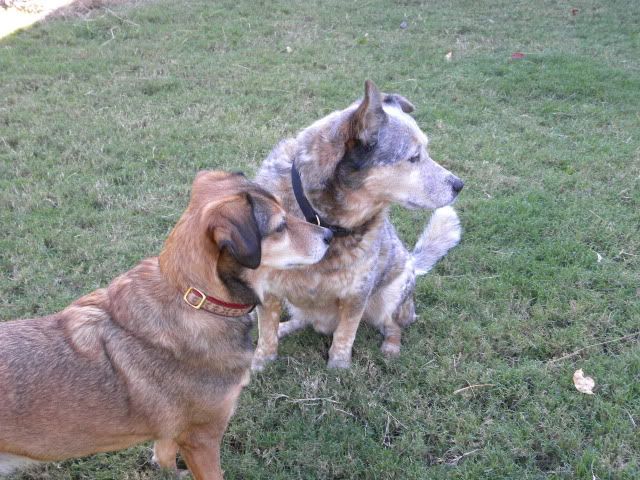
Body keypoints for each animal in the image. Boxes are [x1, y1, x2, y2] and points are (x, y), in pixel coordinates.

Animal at [0, 171, 330, 478]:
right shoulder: (202, 438)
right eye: (279, 226)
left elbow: (164, 454)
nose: (329, 234)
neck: (197, 299)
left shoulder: (174, 433)